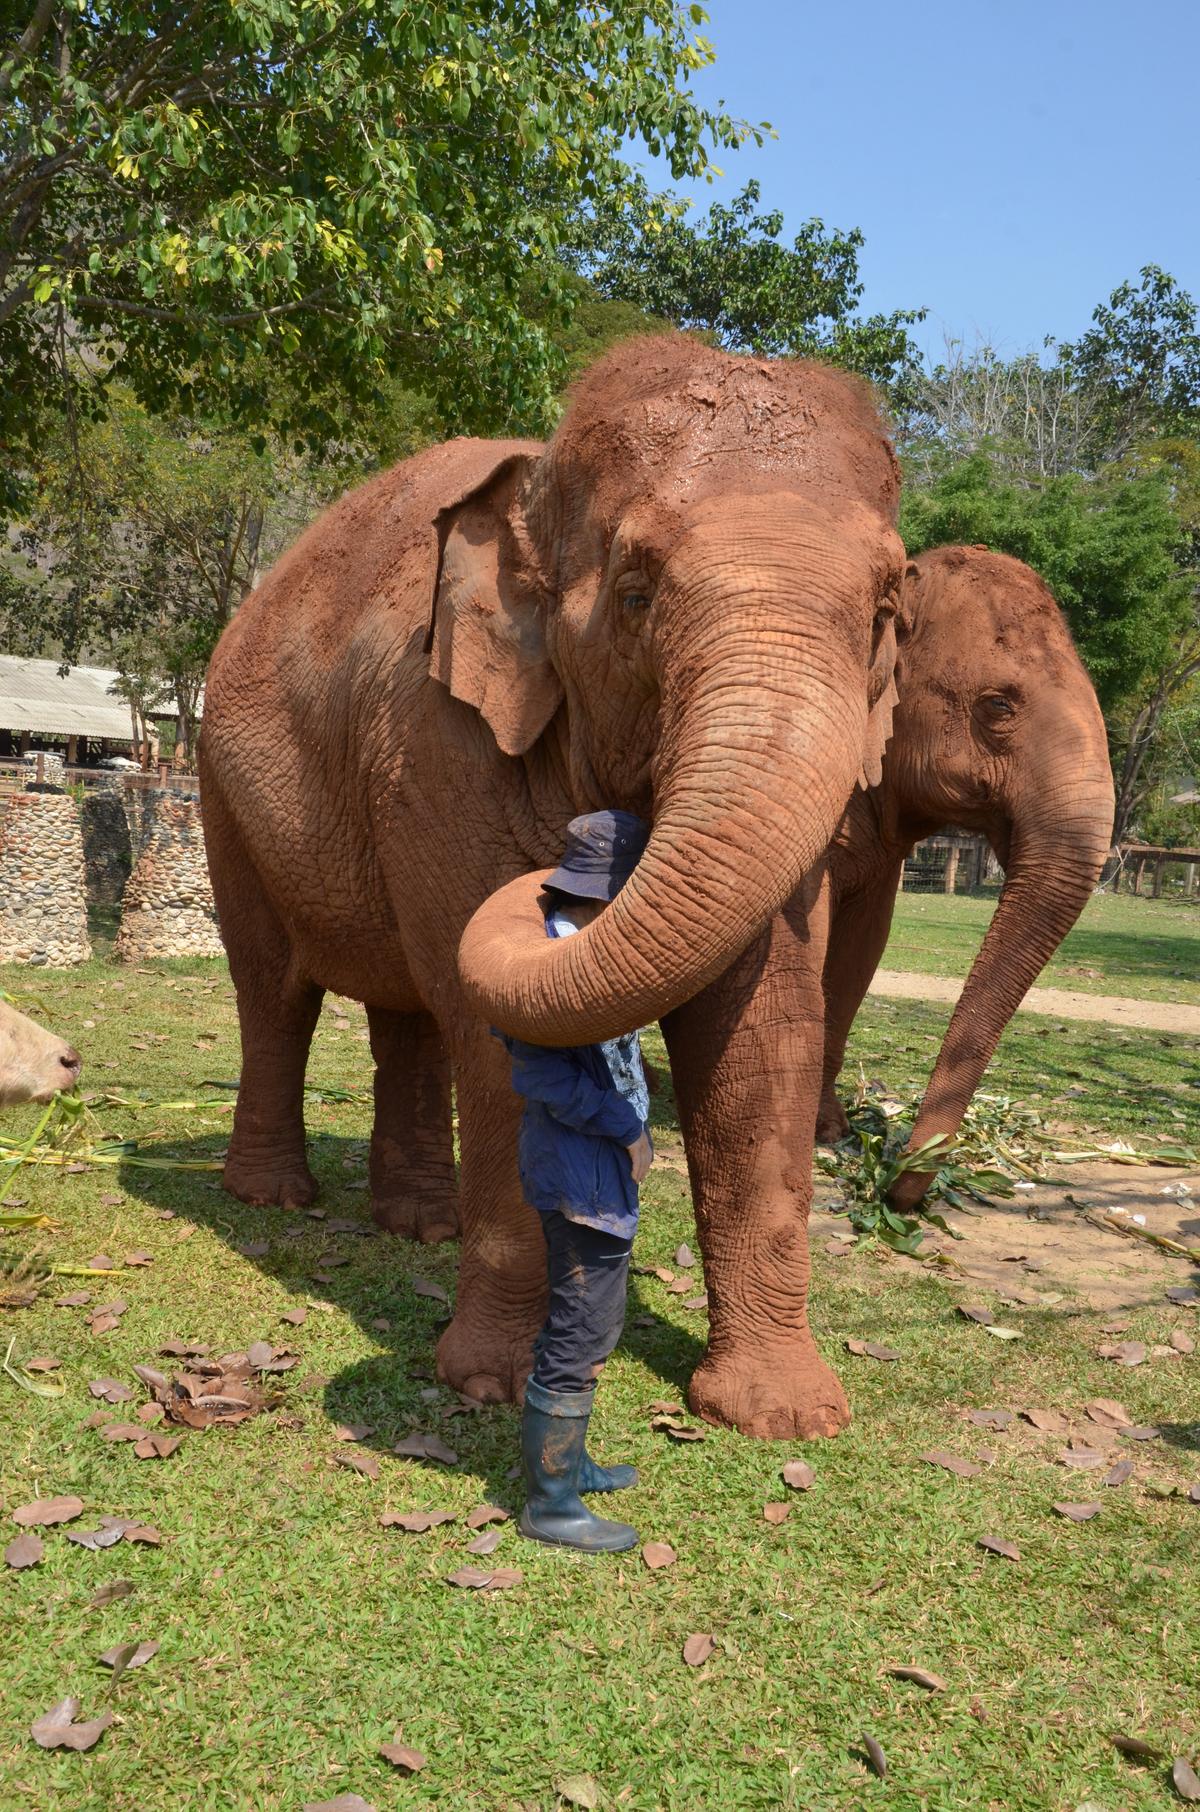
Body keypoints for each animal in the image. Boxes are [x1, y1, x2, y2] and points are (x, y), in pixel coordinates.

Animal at [200, 333, 906, 1439]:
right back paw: (275, 1200)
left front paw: (783, 1416)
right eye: (636, 593)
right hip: (222, 795)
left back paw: (423, 1227)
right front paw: (491, 1386)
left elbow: (761, 1027)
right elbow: (498, 1038)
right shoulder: (437, 741)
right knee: (275, 989)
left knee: (410, 1007)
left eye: (885, 611)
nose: (565, 877)